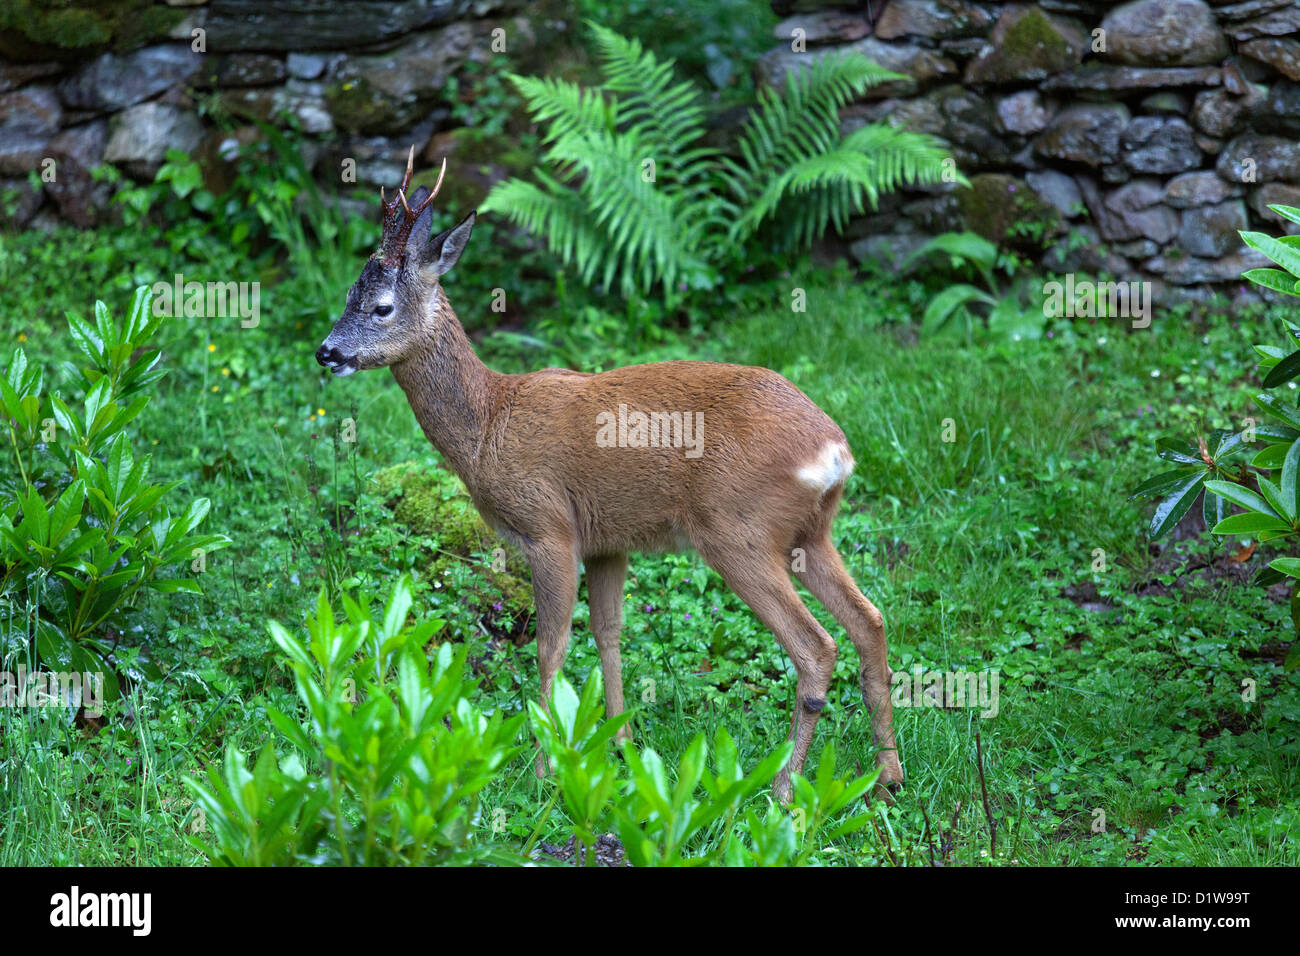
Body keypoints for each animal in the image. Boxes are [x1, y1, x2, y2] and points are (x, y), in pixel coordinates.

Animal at [315, 149, 904, 806]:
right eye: (348, 292)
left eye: (382, 307)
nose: (327, 351)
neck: (489, 423)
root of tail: (834, 450)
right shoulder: (607, 542)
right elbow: (610, 634)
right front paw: (621, 744)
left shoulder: (549, 528)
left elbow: (551, 646)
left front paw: (543, 770)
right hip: (811, 532)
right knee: (870, 621)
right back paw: (887, 777)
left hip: (736, 528)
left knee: (816, 646)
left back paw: (782, 788)